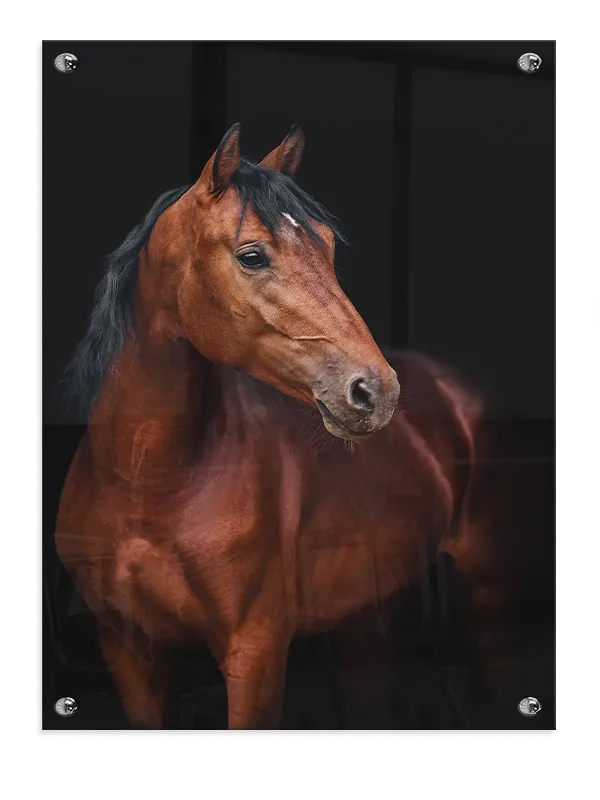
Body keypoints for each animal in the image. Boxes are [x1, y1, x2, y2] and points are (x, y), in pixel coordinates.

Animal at [55, 123, 506, 730]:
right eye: (252, 256)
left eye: (329, 248)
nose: (375, 391)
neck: (148, 485)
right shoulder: (129, 653)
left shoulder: (256, 655)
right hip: (367, 612)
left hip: (485, 591)